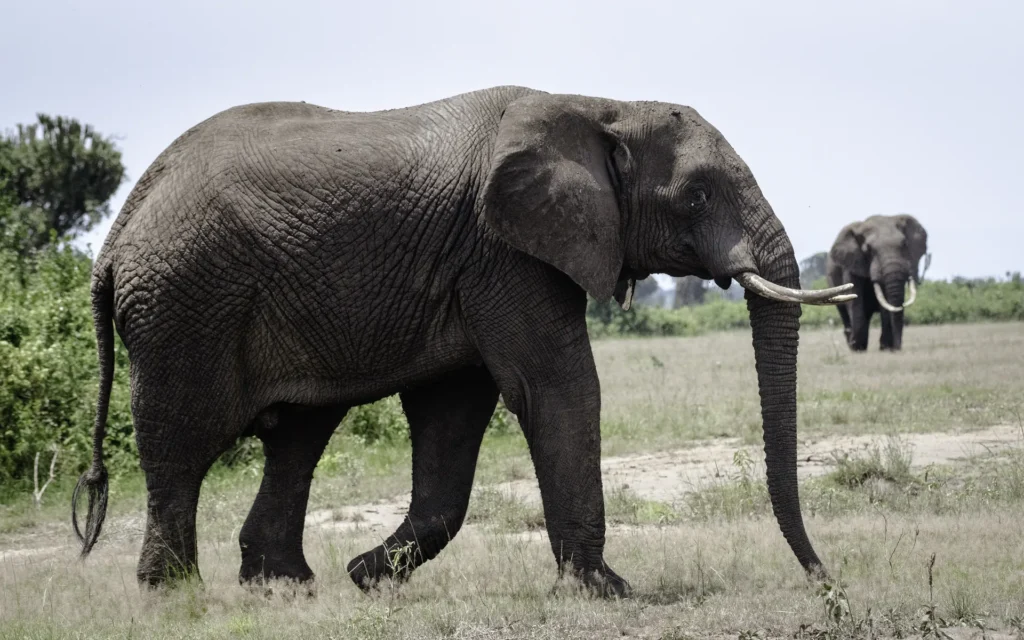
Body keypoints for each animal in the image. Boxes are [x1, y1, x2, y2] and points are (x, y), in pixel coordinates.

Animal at [71, 85, 854, 597]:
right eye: (695, 195)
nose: (825, 583)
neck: (599, 104)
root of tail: (118, 232)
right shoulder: (503, 251)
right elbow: (557, 389)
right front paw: (606, 591)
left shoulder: (473, 264)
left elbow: (453, 415)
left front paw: (368, 578)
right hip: (184, 305)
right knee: (180, 443)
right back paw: (175, 595)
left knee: (297, 434)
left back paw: (288, 587)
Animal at [825, 214, 929, 351]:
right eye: (868, 250)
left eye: (904, 244)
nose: (898, 348)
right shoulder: (851, 264)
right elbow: (854, 299)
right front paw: (857, 347)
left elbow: (885, 305)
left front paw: (885, 348)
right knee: (844, 311)